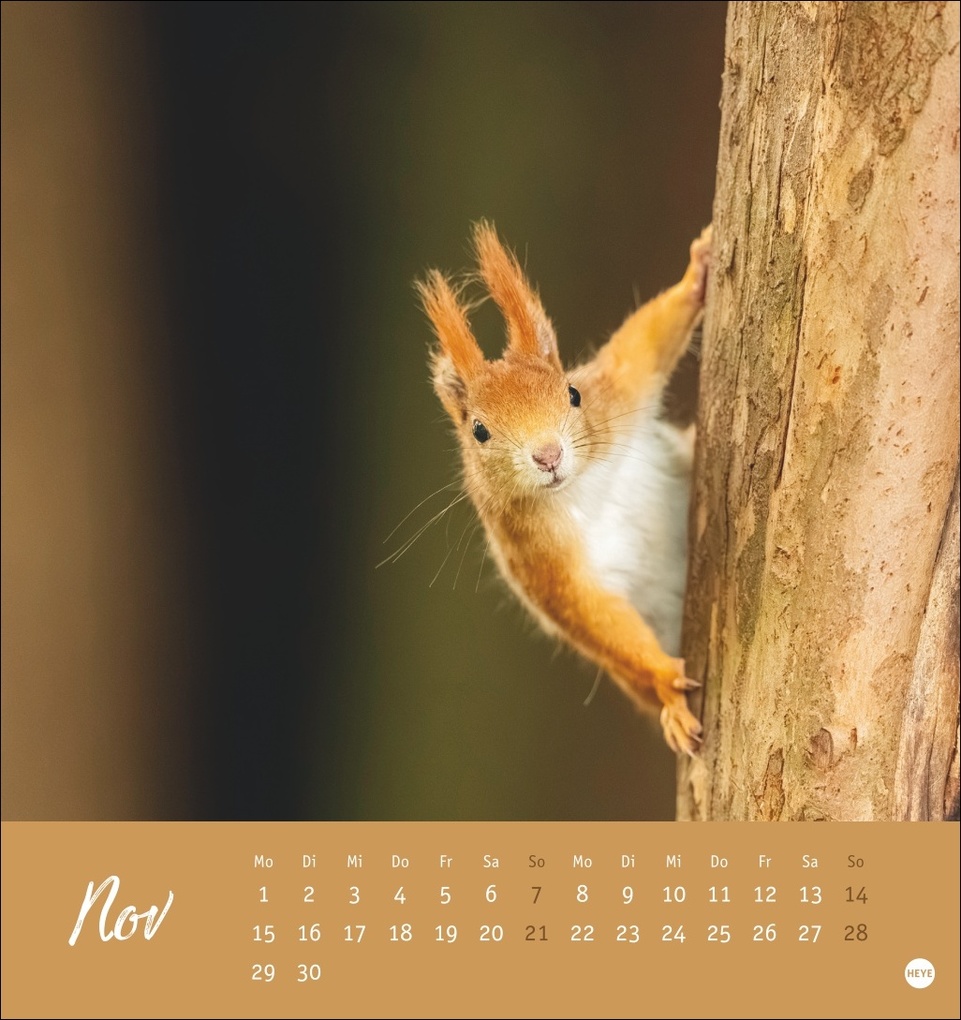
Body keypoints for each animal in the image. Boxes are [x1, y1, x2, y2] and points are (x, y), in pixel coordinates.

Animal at [416, 222, 711, 755]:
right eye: (479, 431)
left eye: (572, 393)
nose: (548, 455)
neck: (579, 487)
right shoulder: (540, 560)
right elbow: (596, 615)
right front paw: (665, 681)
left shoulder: (615, 396)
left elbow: (641, 347)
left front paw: (697, 269)